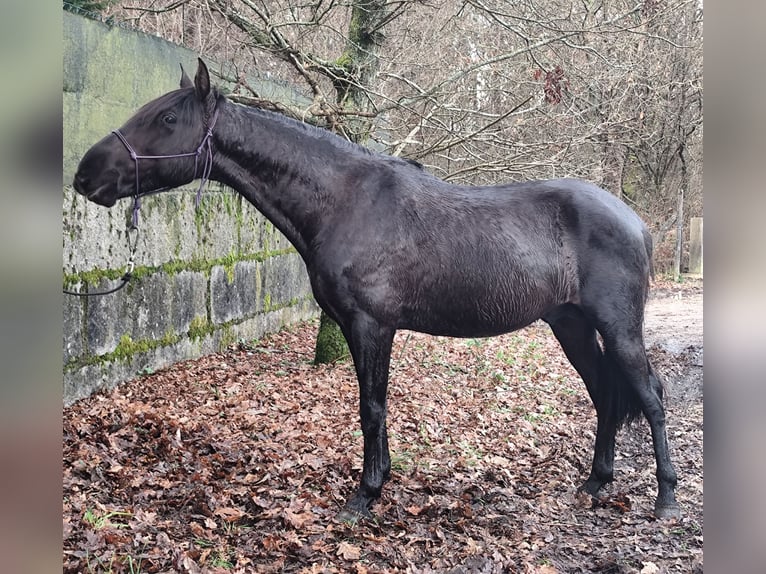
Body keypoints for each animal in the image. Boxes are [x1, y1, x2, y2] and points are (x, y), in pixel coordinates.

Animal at [72, 58, 680, 521]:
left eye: (168, 117)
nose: (85, 174)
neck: (345, 199)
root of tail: (635, 221)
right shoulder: (358, 327)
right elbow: (374, 406)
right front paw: (377, 484)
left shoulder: (372, 325)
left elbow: (371, 407)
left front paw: (363, 496)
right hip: (570, 324)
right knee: (604, 392)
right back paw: (595, 482)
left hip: (618, 327)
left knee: (649, 395)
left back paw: (666, 498)